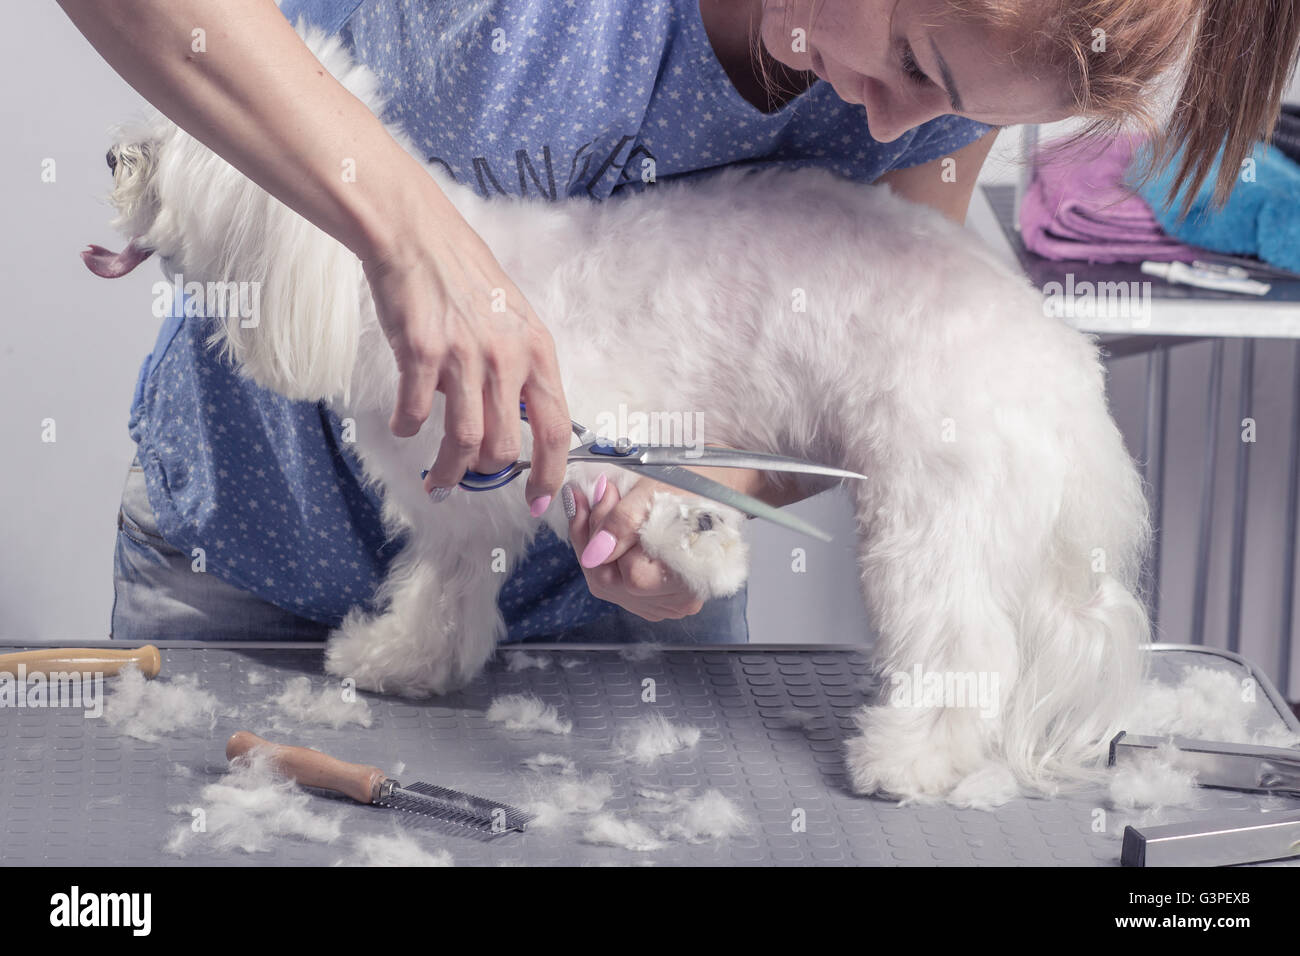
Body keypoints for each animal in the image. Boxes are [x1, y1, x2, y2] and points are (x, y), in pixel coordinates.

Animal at [86, 26, 1149, 806]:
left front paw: (705, 547)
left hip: (934, 517)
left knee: (964, 647)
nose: (112, 151)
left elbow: (651, 500)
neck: (370, 275)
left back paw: (911, 758)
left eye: (174, 149)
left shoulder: (582, 428)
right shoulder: (457, 507)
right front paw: (404, 660)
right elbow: (444, 591)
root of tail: (1054, 357)